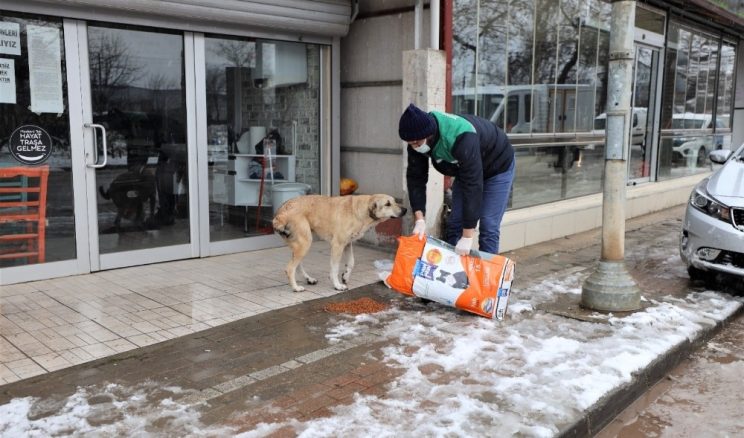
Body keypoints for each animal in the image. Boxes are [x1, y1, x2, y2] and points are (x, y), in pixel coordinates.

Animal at [272, 194, 406, 290]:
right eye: (387, 204)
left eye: (395, 201)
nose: (405, 209)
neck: (360, 210)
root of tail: (281, 213)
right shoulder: (337, 245)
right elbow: (334, 267)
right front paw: (337, 285)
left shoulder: (347, 244)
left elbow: (351, 262)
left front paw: (345, 276)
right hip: (305, 243)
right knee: (290, 268)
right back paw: (296, 288)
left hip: (300, 244)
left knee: (297, 265)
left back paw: (309, 279)